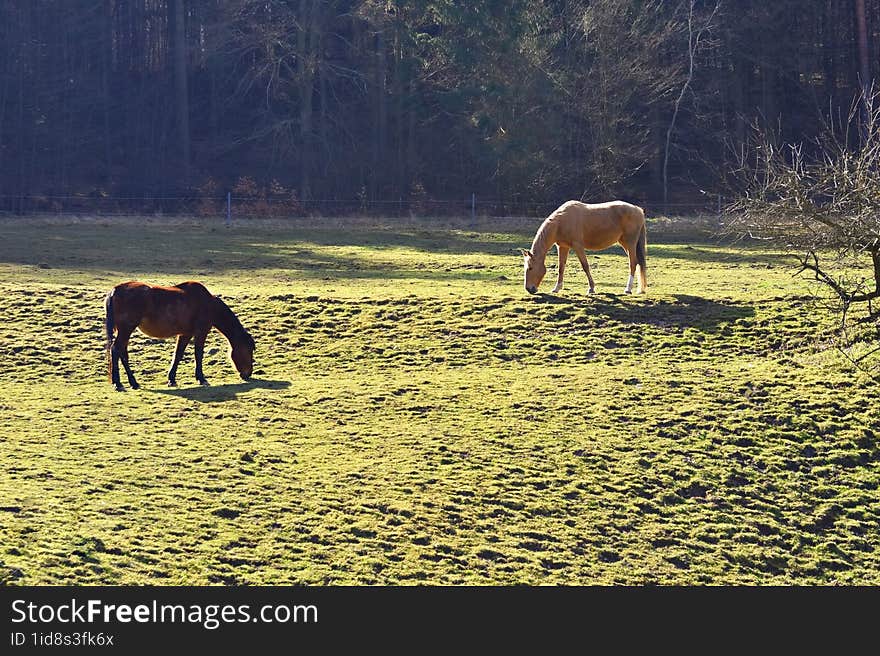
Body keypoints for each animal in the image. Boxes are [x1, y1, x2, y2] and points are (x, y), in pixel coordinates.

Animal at [104, 280, 254, 390]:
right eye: (248, 350)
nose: (248, 373)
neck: (208, 304)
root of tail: (115, 290)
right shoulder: (201, 332)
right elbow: (198, 355)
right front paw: (201, 378)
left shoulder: (185, 334)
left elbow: (178, 354)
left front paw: (171, 379)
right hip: (126, 330)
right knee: (116, 350)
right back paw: (120, 383)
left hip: (124, 331)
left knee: (122, 352)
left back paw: (131, 382)